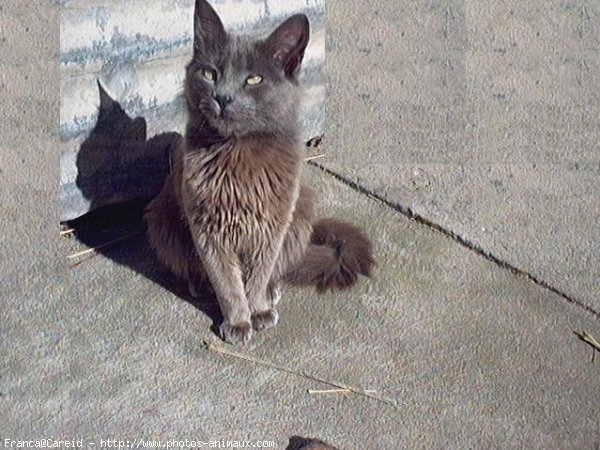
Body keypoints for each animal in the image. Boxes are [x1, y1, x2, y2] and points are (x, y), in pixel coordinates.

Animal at [144, 0, 372, 344]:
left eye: (253, 80)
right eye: (210, 73)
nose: (222, 97)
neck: (240, 153)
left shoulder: (273, 224)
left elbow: (260, 273)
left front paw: (259, 310)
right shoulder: (207, 227)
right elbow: (227, 282)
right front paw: (239, 322)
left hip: (301, 209)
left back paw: (272, 292)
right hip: (163, 220)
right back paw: (199, 284)